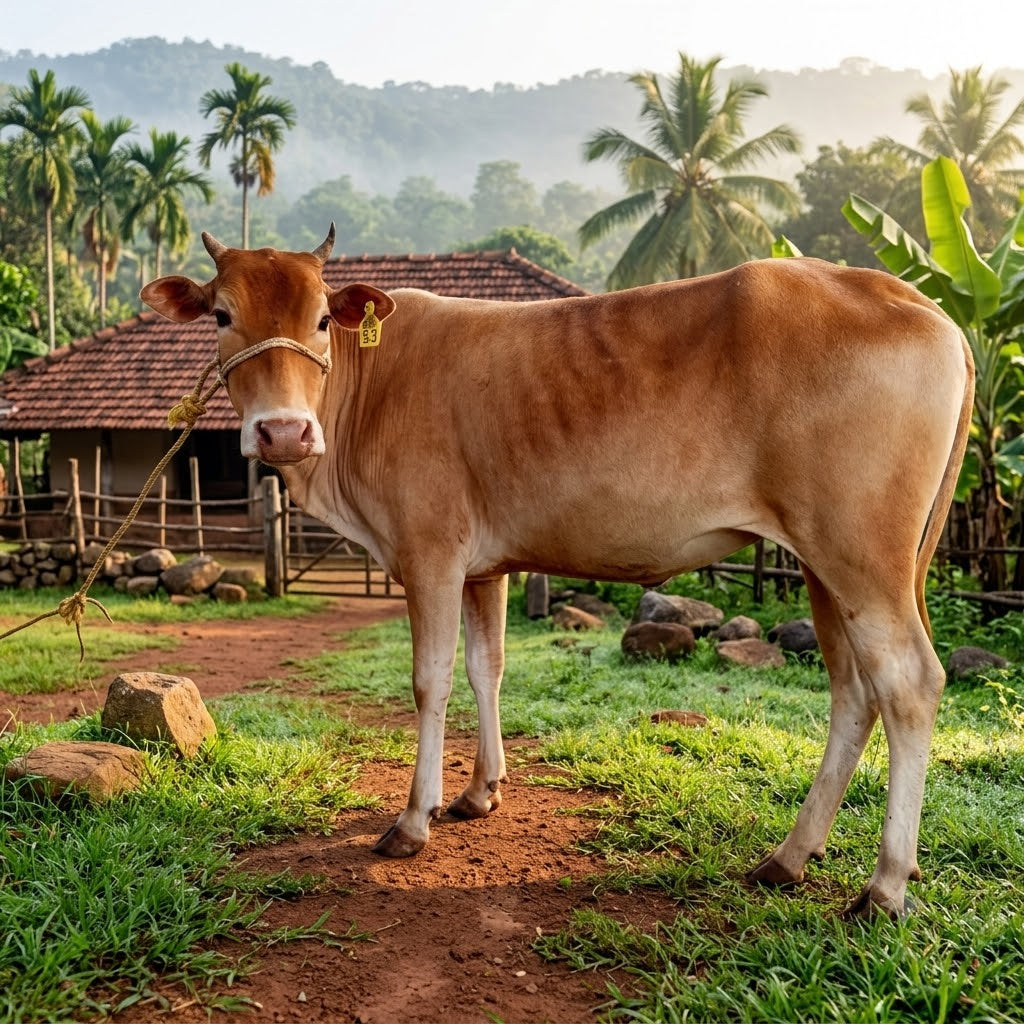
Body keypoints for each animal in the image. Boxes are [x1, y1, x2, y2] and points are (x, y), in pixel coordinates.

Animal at [141, 226, 974, 918]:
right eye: (220, 316)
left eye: (320, 319)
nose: (282, 431)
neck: (366, 388)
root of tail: (917, 303)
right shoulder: (482, 567)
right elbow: (487, 667)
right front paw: (480, 791)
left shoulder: (429, 552)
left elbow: (430, 681)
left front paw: (414, 819)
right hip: (825, 564)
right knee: (853, 691)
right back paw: (792, 855)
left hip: (860, 554)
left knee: (908, 684)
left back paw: (885, 884)